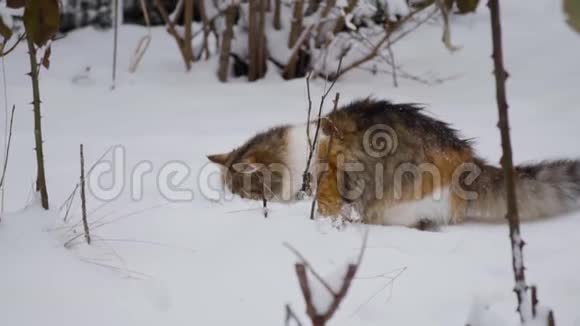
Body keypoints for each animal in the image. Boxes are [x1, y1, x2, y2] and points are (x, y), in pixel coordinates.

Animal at [207, 98, 580, 228]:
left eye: (241, 192)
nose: (231, 202)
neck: (301, 155)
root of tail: (468, 160)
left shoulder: (329, 192)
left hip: (394, 204)